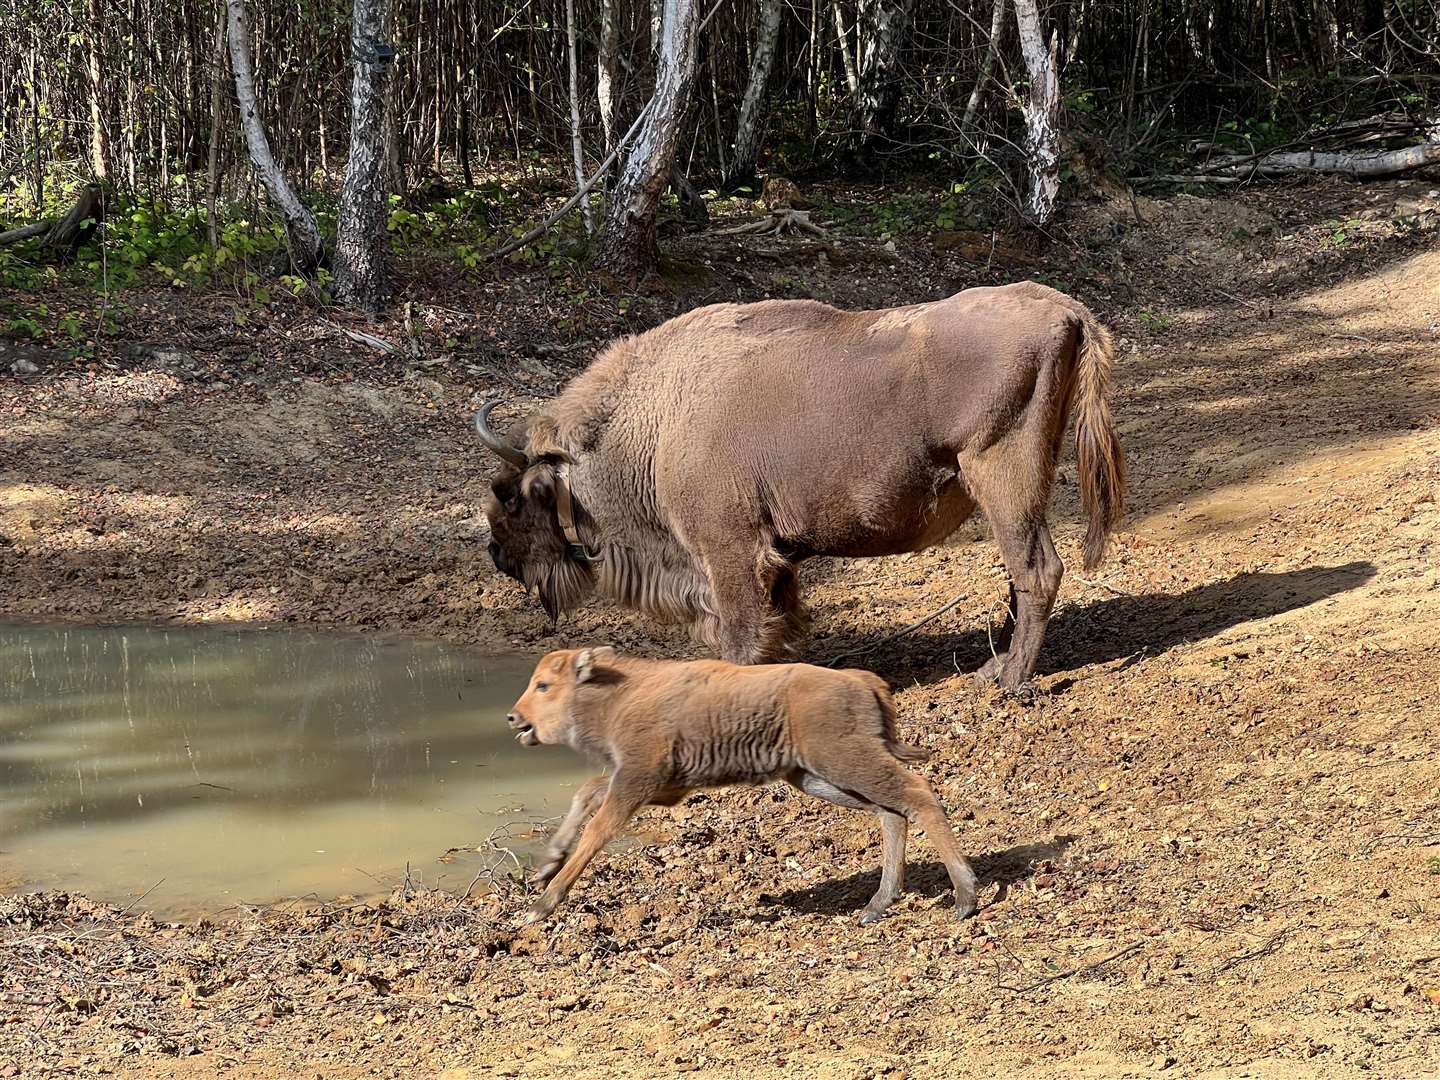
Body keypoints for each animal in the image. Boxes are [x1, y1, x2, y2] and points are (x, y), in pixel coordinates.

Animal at [475, 283, 1123, 688]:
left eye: (509, 496)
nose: (497, 554)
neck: (656, 421)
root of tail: (1065, 309)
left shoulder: (730, 552)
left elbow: (740, 632)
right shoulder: (775, 558)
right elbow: (780, 623)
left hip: (1003, 480)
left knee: (1036, 570)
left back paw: (1010, 679)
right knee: (1020, 574)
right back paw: (996, 665)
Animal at [506, 650, 979, 933]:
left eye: (544, 685)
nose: (513, 717)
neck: (620, 693)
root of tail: (863, 681)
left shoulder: (637, 781)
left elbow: (598, 829)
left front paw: (540, 905)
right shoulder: (654, 785)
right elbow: (587, 793)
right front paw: (546, 865)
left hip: (845, 761)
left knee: (917, 795)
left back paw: (965, 897)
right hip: (818, 777)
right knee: (892, 812)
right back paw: (877, 905)